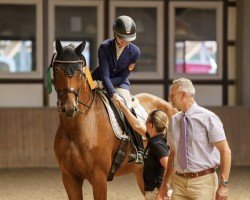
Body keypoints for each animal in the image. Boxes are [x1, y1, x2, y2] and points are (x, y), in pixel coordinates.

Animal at [50, 38, 176, 200]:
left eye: (79, 72)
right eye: (57, 70)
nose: (70, 108)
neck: (76, 130)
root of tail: (170, 107)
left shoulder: (99, 178)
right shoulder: (69, 178)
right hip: (142, 174)